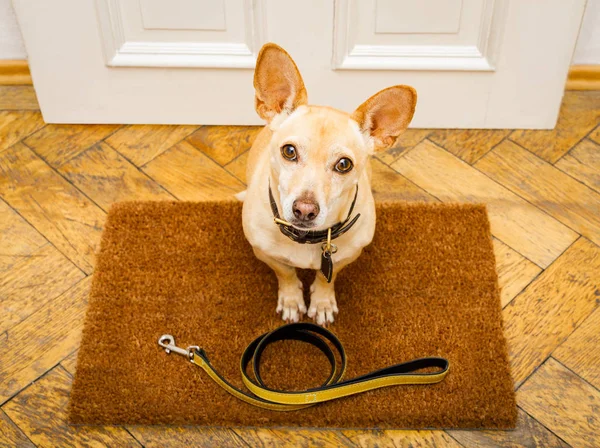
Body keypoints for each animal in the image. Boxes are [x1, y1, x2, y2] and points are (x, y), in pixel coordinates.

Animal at [237, 43, 414, 326]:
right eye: (289, 151)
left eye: (344, 164)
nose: (305, 210)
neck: (307, 240)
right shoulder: (265, 254)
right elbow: (285, 273)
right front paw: (291, 299)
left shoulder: (345, 257)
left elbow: (325, 277)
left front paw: (321, 302)